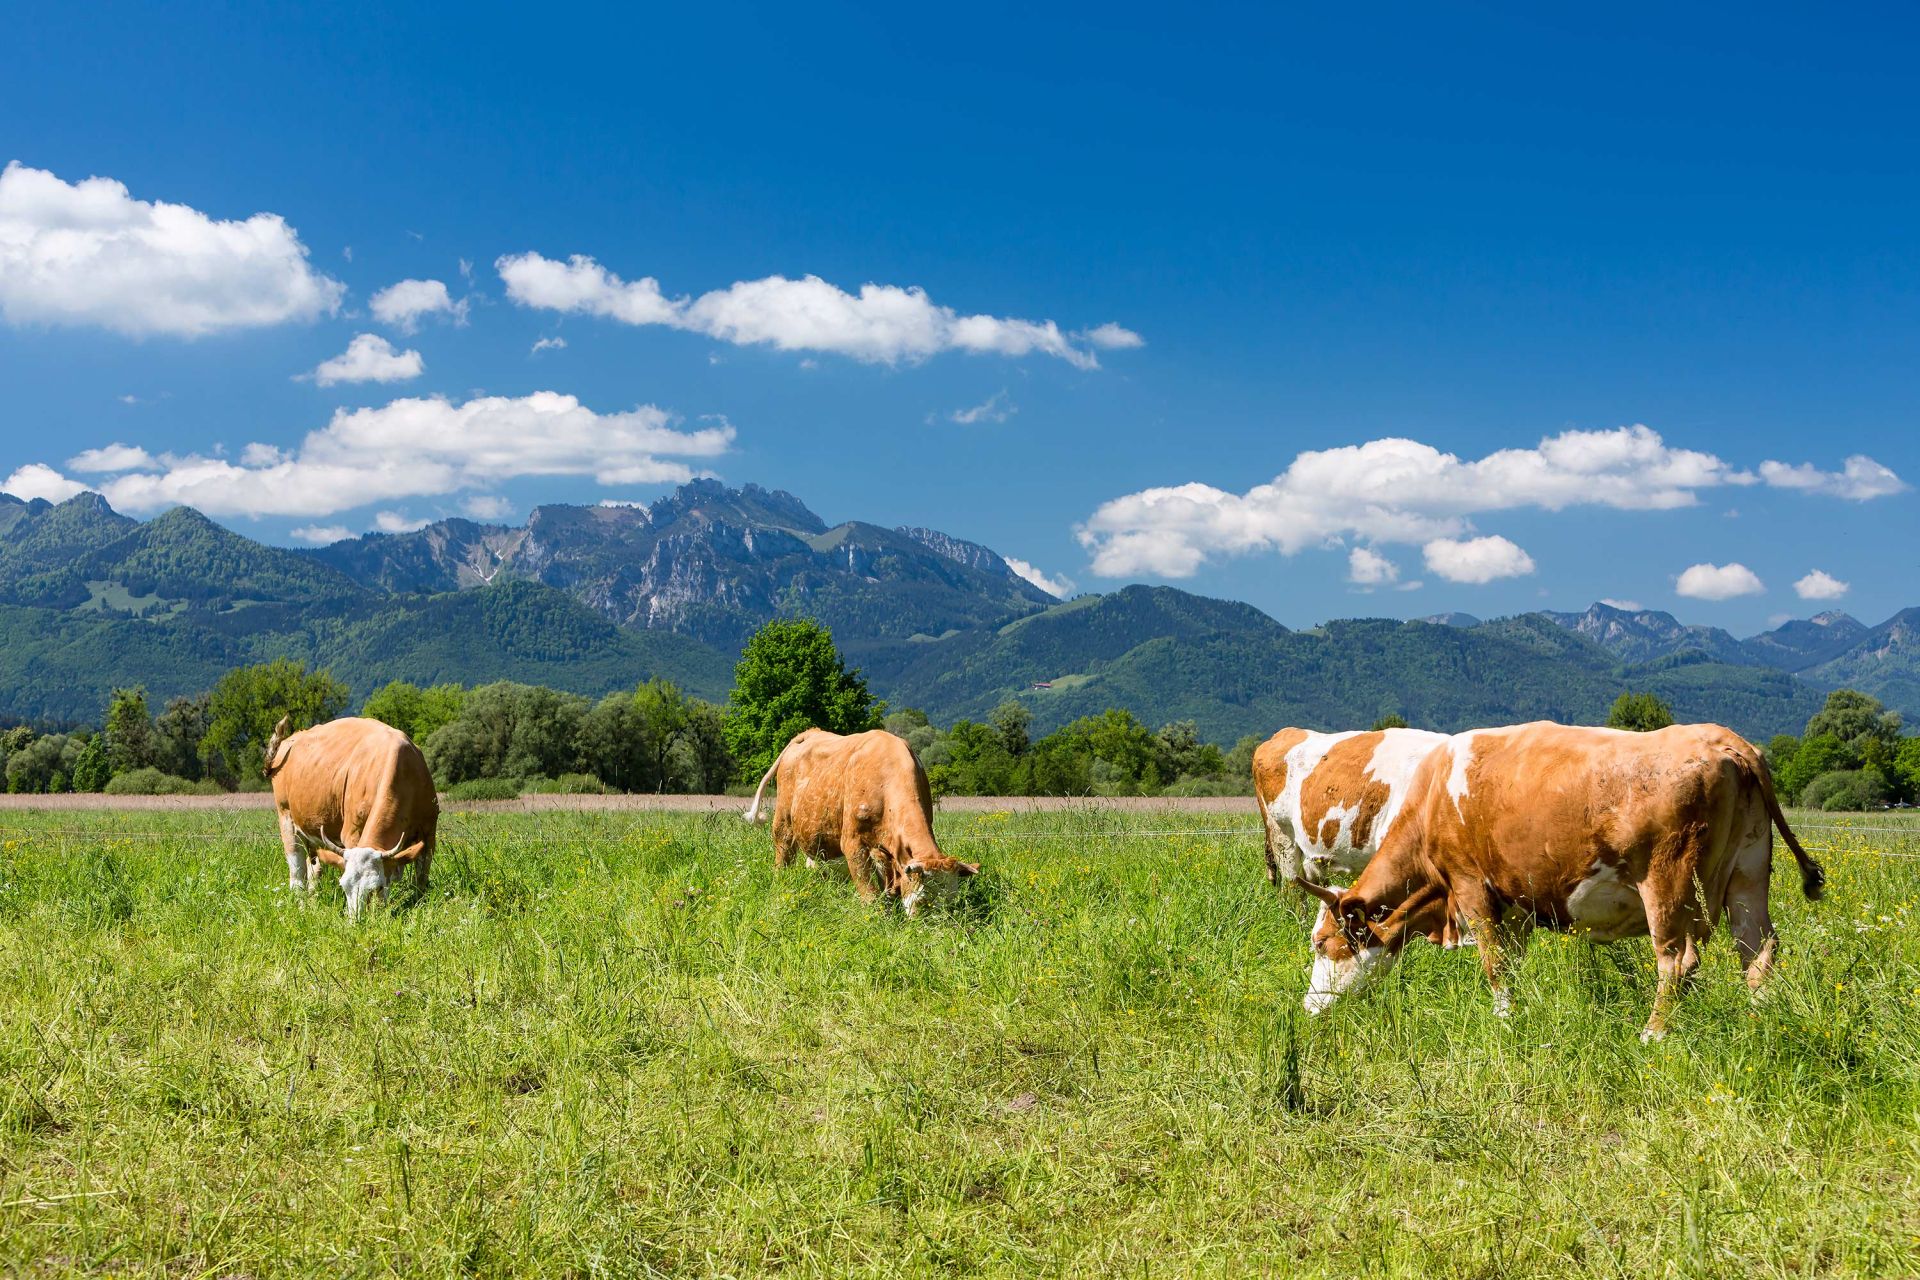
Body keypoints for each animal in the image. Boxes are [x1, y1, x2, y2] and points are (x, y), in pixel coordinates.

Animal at [266, 710, 439, 921]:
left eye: (376, 887)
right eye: (344, 886)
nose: (355, 922)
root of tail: (292, 739)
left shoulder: (429, 832)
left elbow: (421, 879)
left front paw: (417, 905)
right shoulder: (351, 833)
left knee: (313, 868)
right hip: (286, 818)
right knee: (297, 873)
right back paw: (302, 909)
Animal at [744, 725, 983, 917]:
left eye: (950, 901)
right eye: (923, 901)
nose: (933, 929)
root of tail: (810, 732)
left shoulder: (884, 849)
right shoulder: (853, 842)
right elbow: (869, 893)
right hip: (783, 819)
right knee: (783, 853)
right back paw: (780, 882)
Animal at [1297, 721, 1820, 1043]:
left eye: (1322, 943)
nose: (1308, 1008)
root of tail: (1725, 740)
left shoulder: (1471, 886)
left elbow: (1493, 965)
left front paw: (1503, 1023)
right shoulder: (1514, 905)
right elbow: (1513, 963)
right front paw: (1518, 1014)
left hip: (1668, 884)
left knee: (1678, 962)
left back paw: (1653, 1034)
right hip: (1748, 875)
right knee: (1758, 951)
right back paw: (1759, 1021)